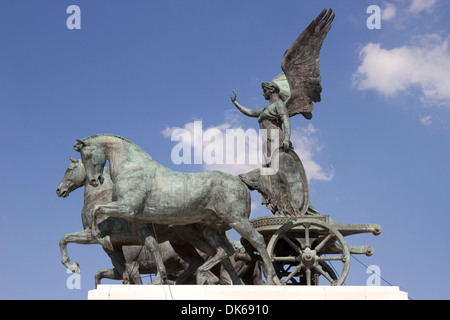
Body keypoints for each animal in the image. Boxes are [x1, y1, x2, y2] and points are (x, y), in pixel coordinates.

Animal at [73, 134, 278, 284]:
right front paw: (159, 278)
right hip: (211, 230)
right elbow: (151, 245)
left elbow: (95, 210)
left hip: (236, 219)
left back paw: (270, 276)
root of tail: (239, 181)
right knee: (225, 251)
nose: (94, 180)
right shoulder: (138, 222)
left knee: (257, 240)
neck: (131, 167)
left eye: (87, 156)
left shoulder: (127, 208)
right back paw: (206, 274)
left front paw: (101, 238)